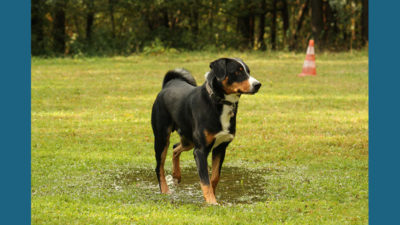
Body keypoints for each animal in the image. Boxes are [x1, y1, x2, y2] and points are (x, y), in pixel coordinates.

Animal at [152, 57, 260, 204]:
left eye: (248, 71)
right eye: (237, 72)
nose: (258, 84)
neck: (219, 103)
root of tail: (169, 84)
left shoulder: (220, 148)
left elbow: (214, 177)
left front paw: (211, 197)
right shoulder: (200, 151)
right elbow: (205, 180)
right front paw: (211, 202)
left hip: (188, 140)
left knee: (175, 148)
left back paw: (176, 175)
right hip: (162, 137)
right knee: (160, 167)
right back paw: (165, 190)